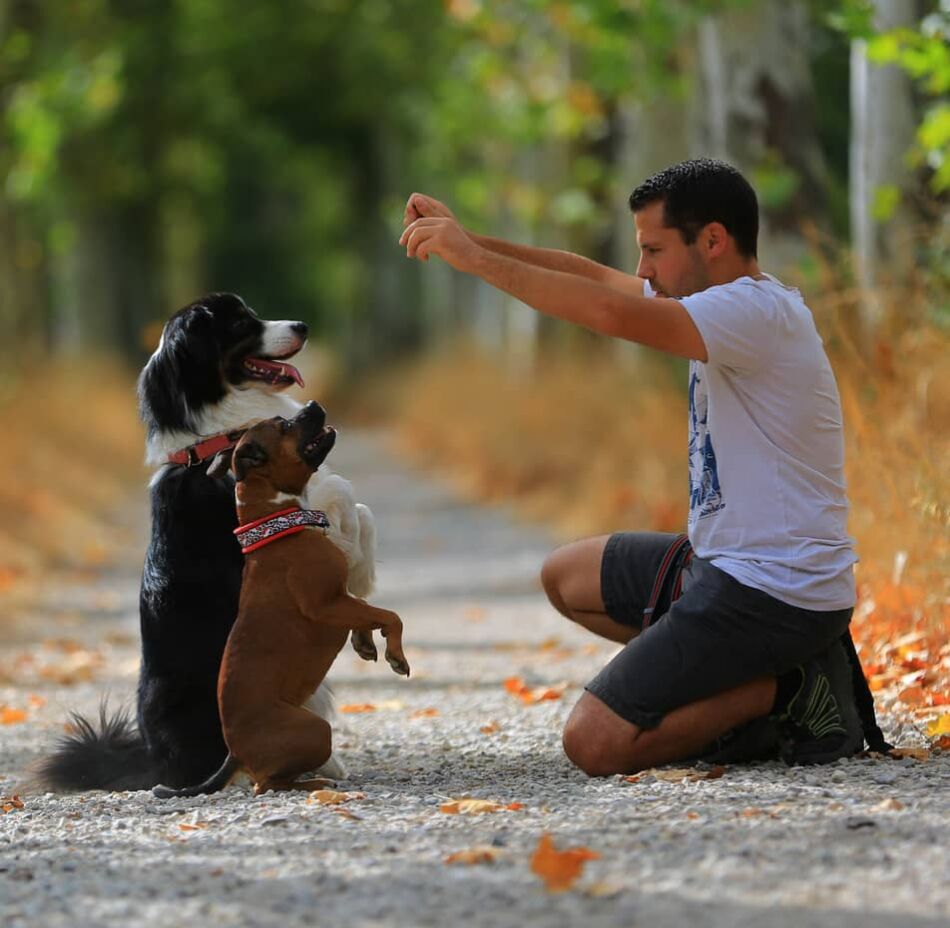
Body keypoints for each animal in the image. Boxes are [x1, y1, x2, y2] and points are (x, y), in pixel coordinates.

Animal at [36, 292, 376, 792]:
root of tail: (154, 762)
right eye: (239, 323)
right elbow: (343, 513)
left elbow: (358, 509)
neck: (218, 443)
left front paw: (366, 577)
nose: (303, 325)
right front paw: (361, 571)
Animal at [152, 400, 410, 796]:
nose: (313, 405)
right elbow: (389, 615)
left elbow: (367, 609)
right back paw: (315, 781)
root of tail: (235, 753)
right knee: (269, 784)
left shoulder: (341, 600)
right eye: (285, 426)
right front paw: (396, 655)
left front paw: (366, 642)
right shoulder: (327, 605)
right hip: (316, 730)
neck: (279, 522)